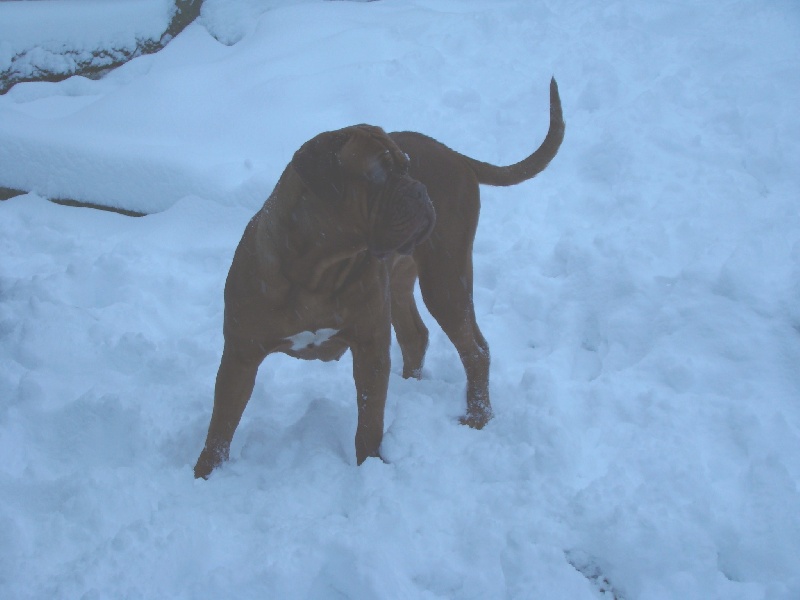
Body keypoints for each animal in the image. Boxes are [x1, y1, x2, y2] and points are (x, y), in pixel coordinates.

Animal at [193, 78, 564, 478]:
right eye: (377, 175)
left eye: (407, 167)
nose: (420, 189)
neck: (317, 268)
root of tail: (457, 155)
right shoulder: (240, 355)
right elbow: (220, 426)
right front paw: (204, 475)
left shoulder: (369, 345)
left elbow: (369, 421)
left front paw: (369, 465)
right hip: (401, 284)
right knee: (416, 335)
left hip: (445, 281)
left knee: (475, 350)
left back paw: (477, 416)